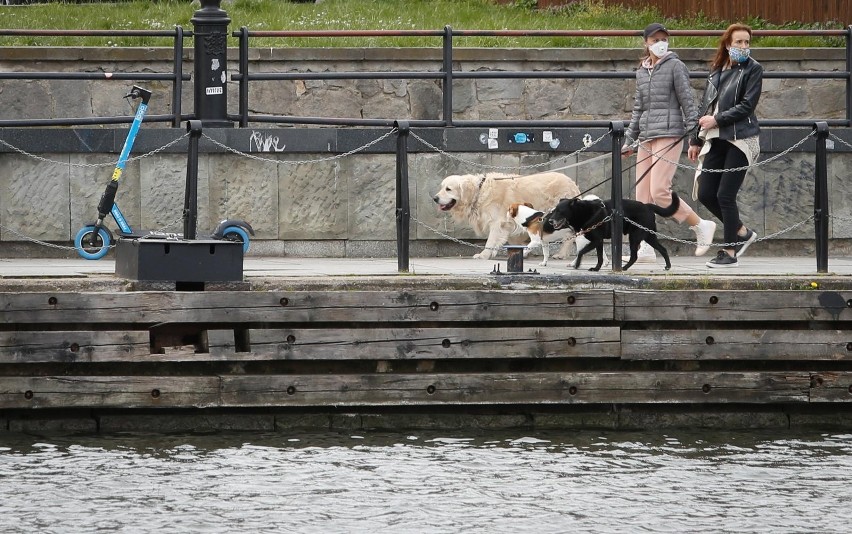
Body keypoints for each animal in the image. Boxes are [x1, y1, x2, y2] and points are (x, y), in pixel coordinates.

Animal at [544, 194, 680, 272]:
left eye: (560, 211)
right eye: (554, 211)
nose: (550, 221)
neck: (583, 212)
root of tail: (648, 206)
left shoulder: (596, 240)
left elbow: (581, 251)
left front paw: (577, 264)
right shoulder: (598, 242)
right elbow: (599, 257)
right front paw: (596, 268)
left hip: (635, 237)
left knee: (635, 256)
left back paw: (623, 268)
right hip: (649, 236)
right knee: (663, 249)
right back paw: (668, 266)